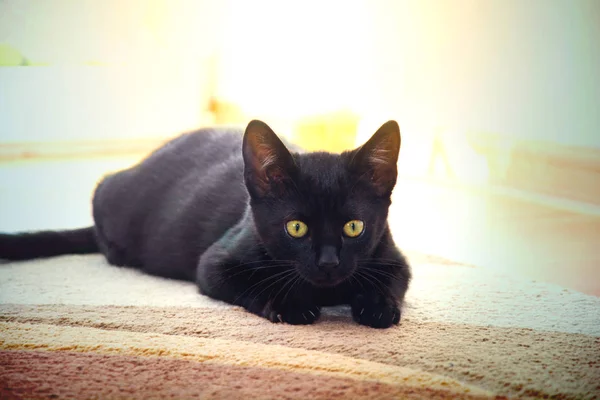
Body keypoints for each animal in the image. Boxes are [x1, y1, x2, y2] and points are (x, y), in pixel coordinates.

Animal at [0, 119, 410, 328]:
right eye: (296, 228)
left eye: (354, 227)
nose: (328, 263)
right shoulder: (215, 263)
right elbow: (252, 282)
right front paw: (290, 303)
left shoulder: (395, 258)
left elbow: (390, 280)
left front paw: (377, 306)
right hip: (110, 198)